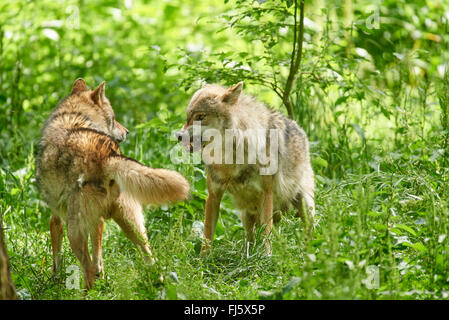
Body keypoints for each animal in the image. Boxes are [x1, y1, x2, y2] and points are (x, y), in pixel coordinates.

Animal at [175, 82, 316, 255]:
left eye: (201, 117)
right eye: (188, 117)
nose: (178, 135)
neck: (230, 157)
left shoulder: (267, 193)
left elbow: (267, 233)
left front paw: (267, 257)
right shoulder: (213, 195)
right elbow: (207, 234)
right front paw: (203, 259)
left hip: (305, 206)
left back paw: (309, 252)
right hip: (246, 214)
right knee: (250, 237)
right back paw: (248, 255)